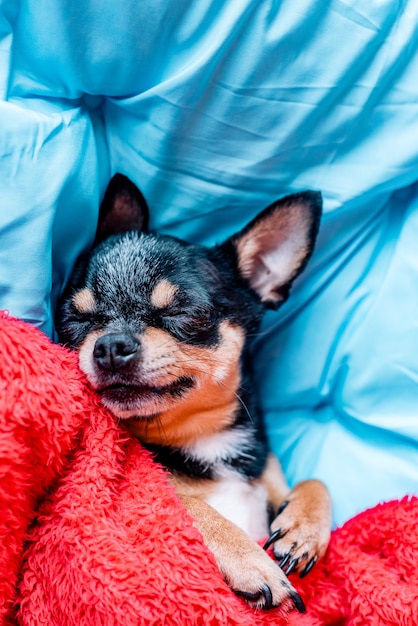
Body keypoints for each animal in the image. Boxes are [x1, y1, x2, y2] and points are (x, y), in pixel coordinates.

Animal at [58, 174, 334, 608]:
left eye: (183, 313)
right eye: (75, 320)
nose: (110, 345)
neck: (202, 437)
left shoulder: (268, 472)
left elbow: (316, 481)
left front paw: (303, 528)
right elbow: (185, 505)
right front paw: (250, 560)